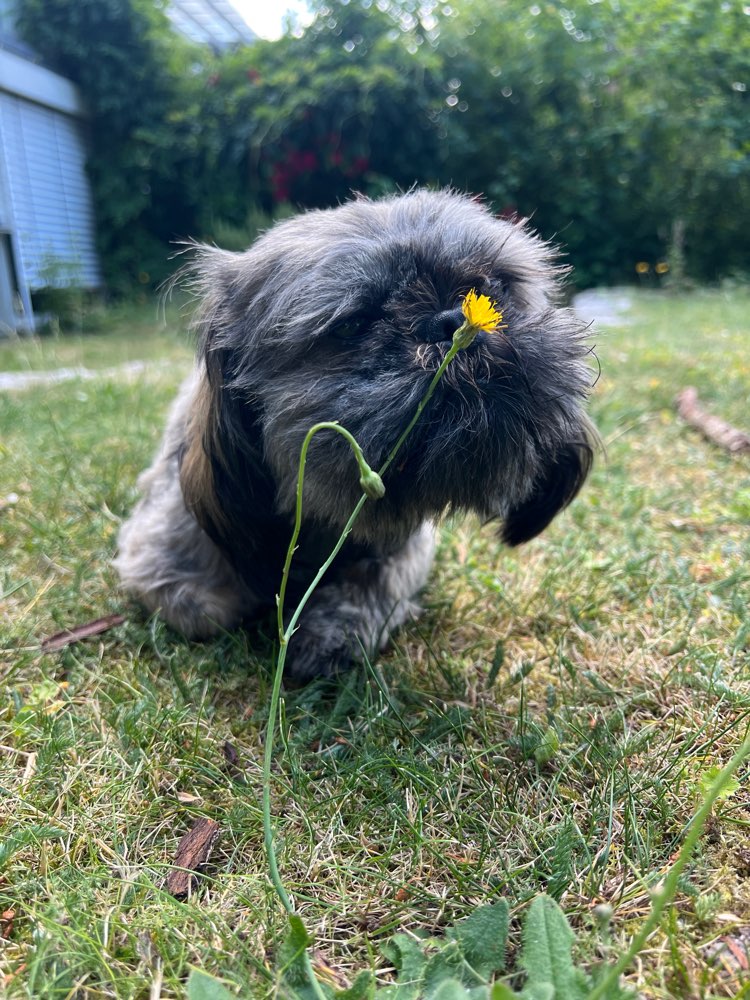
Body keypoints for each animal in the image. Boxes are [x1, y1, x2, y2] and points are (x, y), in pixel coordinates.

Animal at [116, 189, 600, 680]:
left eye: (492, 288)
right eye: (351, 325)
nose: (449, 321)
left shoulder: (404, 545)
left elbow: (377, 579)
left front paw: (335, 627)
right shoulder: (162, 540)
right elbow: (201, 606)